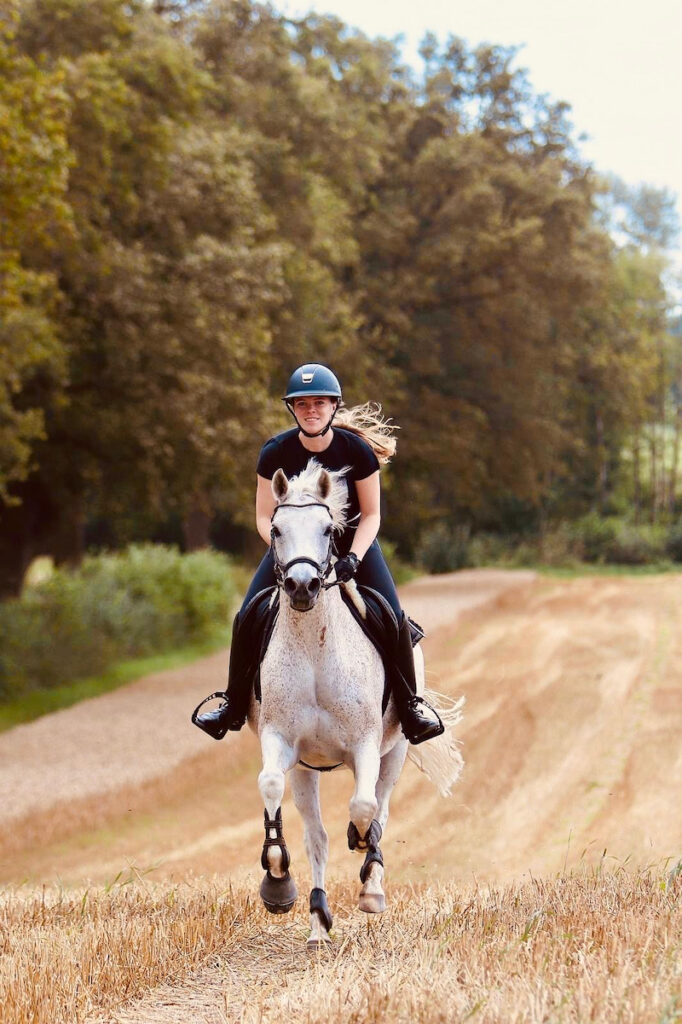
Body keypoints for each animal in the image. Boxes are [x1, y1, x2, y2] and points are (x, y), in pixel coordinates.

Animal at [249, 460, 462, 946]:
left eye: (329, 529)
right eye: (276, 529)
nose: (302, 586)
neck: (314, 649)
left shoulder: (365, 744)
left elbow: (364, 809)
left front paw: (366, 860)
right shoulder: (279, 739)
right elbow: (270, 785)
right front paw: (277, 882)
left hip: (395, 752)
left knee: (379, 807)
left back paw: (371, 887)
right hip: (306, 770)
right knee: (317, 837)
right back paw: (317, 921)